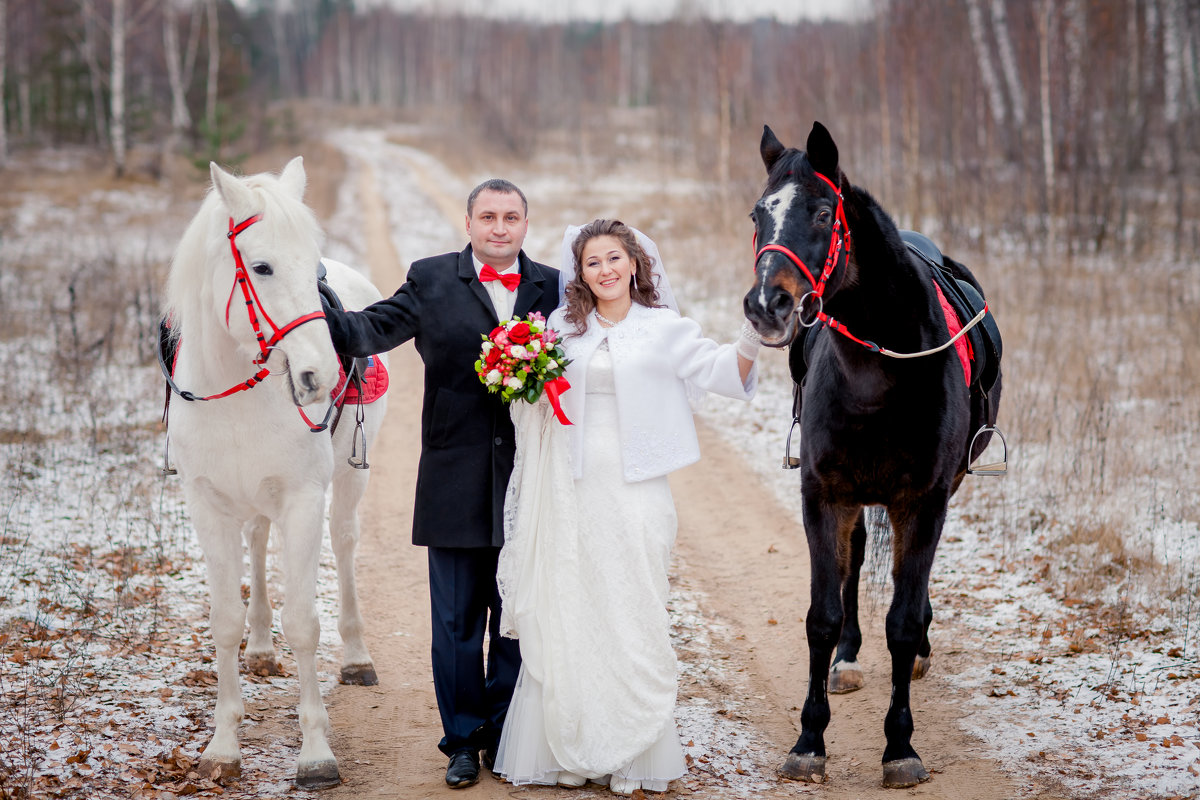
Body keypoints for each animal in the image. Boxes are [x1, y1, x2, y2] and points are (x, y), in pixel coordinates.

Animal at [163, 155, 388, 786]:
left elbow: (306, 622)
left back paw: (356, 658)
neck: (236, 395)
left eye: (313, 265)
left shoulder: (303, 501)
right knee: (259, 541)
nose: (321, 373)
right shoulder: (207, 507)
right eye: (261, 267)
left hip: (350, 482)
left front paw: (315, 753)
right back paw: (262, 648)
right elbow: (223, 622)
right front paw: (222, 746)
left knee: (345, 541)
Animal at [739, 123, 1003, 786]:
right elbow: (822, 614)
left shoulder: (925, 500)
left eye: (822, 212)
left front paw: (900, 746)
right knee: (855, 562)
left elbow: (904, 622)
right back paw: (849, 659)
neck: (879, 373)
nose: (766, 305)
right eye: (758, 214)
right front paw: (810, 739)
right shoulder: (823, 494)